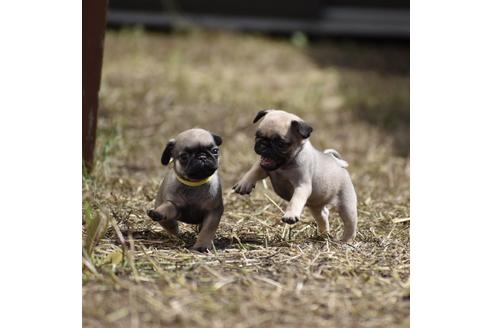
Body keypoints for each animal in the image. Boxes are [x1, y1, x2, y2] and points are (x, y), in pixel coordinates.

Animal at [234, 109, 358, 241]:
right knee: (323, 215)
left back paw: (345, 240)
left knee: (350, 224)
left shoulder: (302, 186)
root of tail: (338, 163)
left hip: (347, 205)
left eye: (281, 143)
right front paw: (244, 184)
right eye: (257, 136)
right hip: (316, 206)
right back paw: (324, 234)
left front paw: (290, 215)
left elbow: (295, 200)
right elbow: (253, 171)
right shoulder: (263, 166)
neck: (284, 166)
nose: (263, 144)